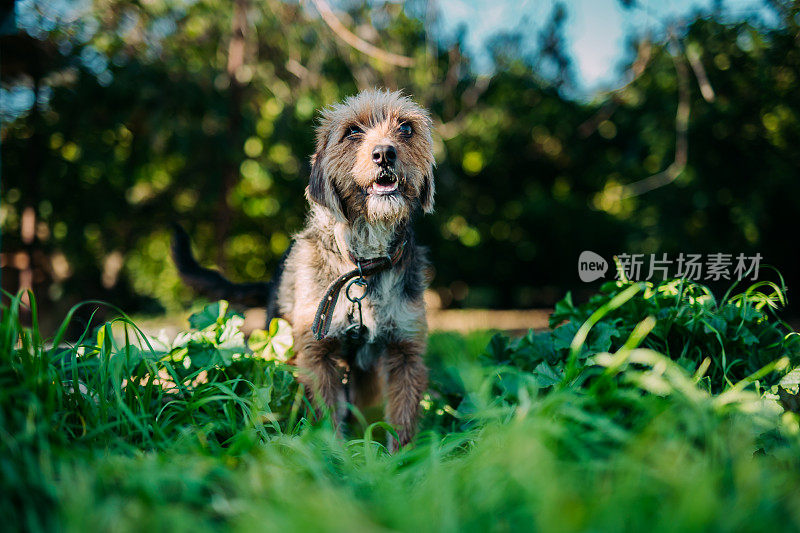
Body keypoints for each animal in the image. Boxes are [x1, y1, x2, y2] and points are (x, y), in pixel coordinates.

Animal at [172, 88, 434, 448]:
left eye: (406, 128)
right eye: (353, 131)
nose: (384, 153)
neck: (362, 264)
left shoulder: (405, 351)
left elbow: (402, 420)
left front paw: (401, 459)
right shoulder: (315, 353)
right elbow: (326, 414)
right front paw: (334, 454)